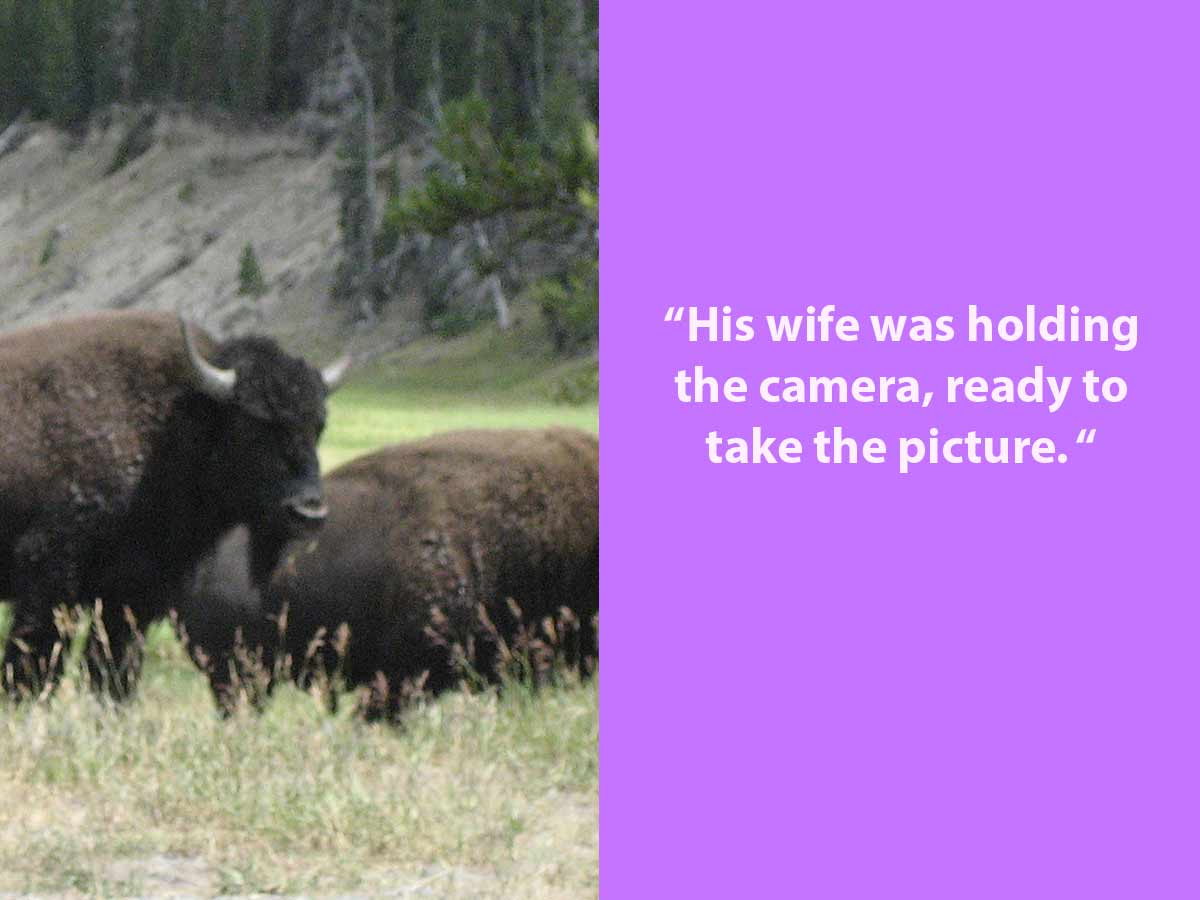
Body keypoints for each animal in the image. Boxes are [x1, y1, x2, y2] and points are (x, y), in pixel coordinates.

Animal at [0, 311, 344, 699]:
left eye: (318, 426)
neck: (173, 421)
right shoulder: (50, 575)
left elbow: (112, 670)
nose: (309, 512)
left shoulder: (134, 592)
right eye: (253, 424)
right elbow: (35, 662)